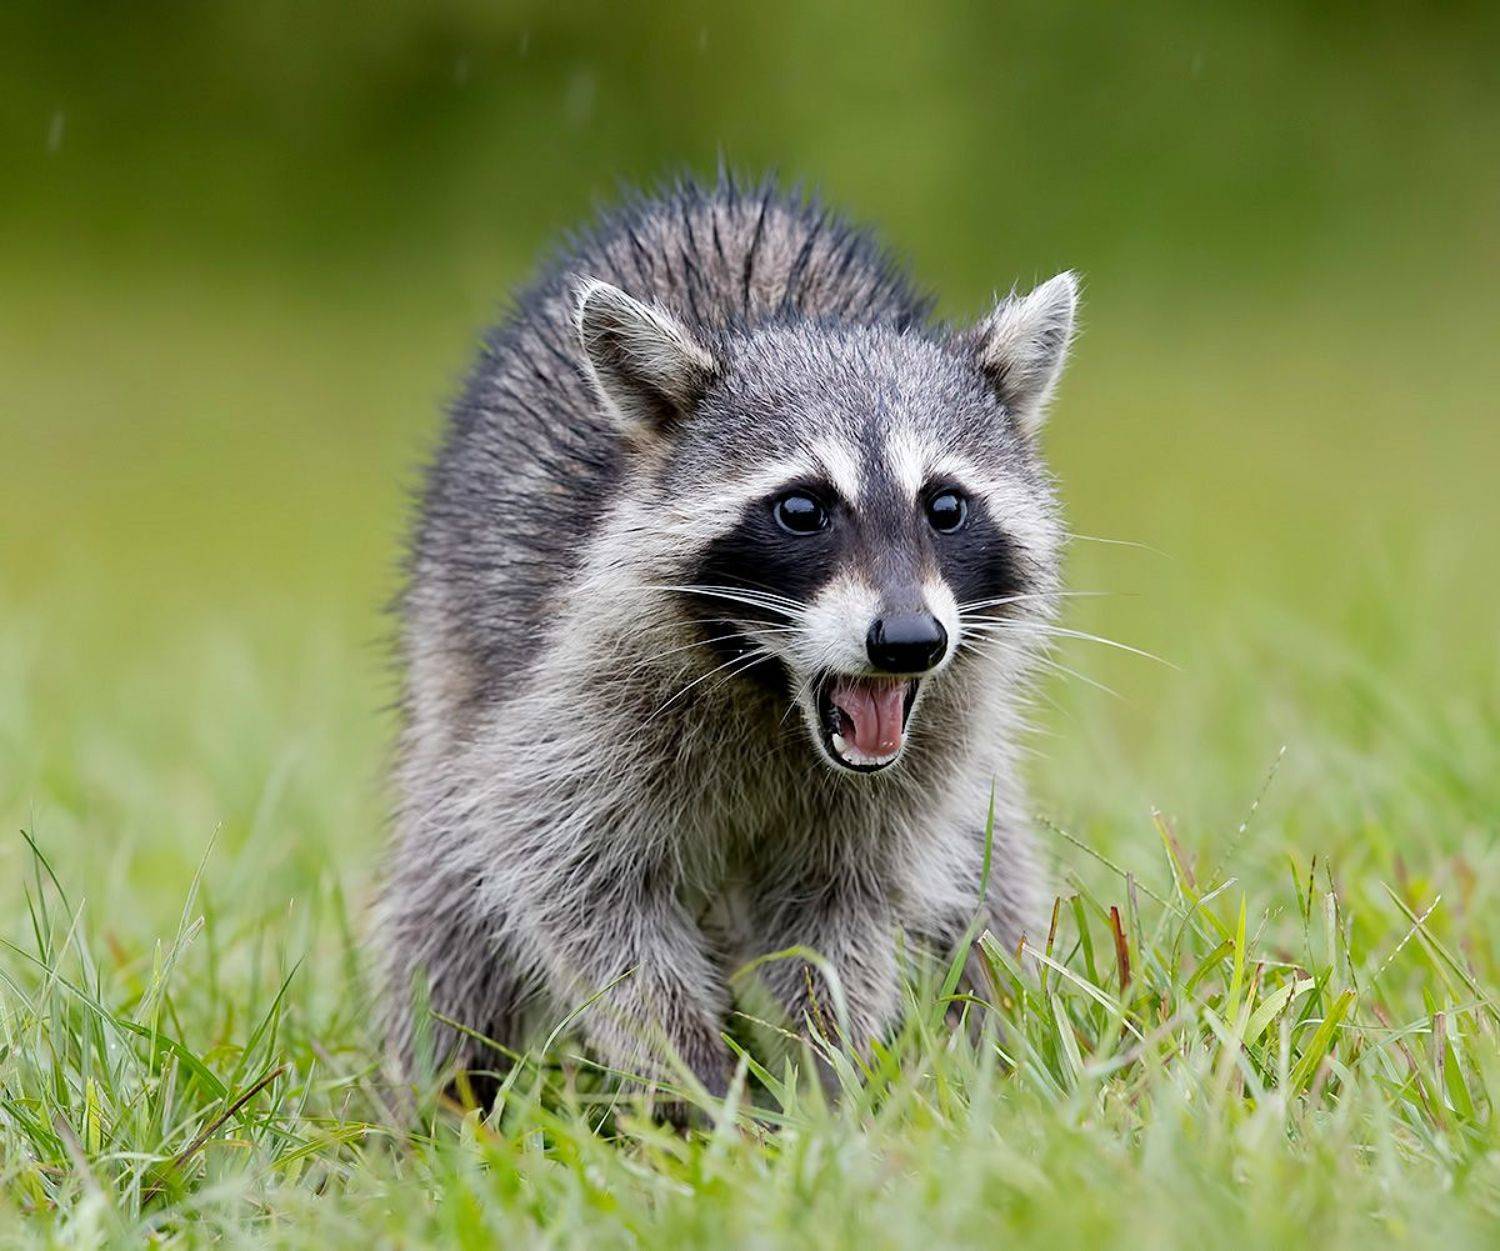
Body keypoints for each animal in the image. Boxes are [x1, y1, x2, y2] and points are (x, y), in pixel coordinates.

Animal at [376, 174, 1077, 1103]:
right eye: (802, 508)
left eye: (946, 505)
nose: (907, 641)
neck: (776, 690)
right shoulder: (574, 700)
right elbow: (577, 889)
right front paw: (699, 1075)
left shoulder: (920, 761)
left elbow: (845, 910)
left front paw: (829, 1077)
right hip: (455, 664)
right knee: (445, 903)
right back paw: (437, 1098)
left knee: (990, 886)